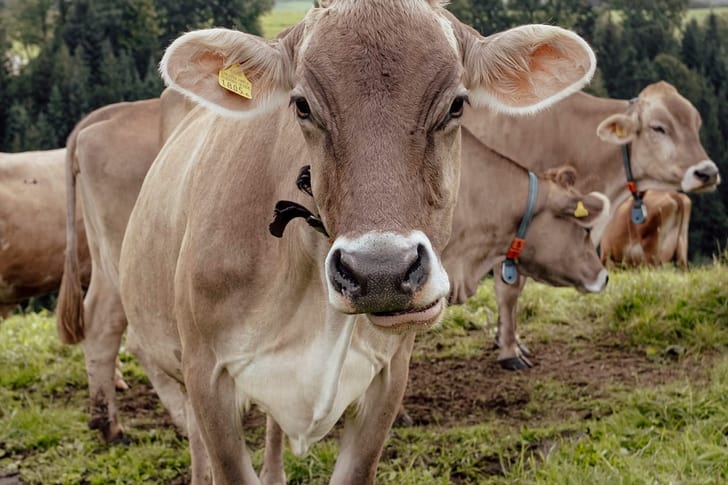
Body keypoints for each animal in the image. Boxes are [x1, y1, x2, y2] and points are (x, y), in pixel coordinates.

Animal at [463, 81, 721, 369]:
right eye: (658, 127)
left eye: (696, 125)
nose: (707, 173)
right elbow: (509, 290)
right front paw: (509, 352)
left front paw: (510, 342)